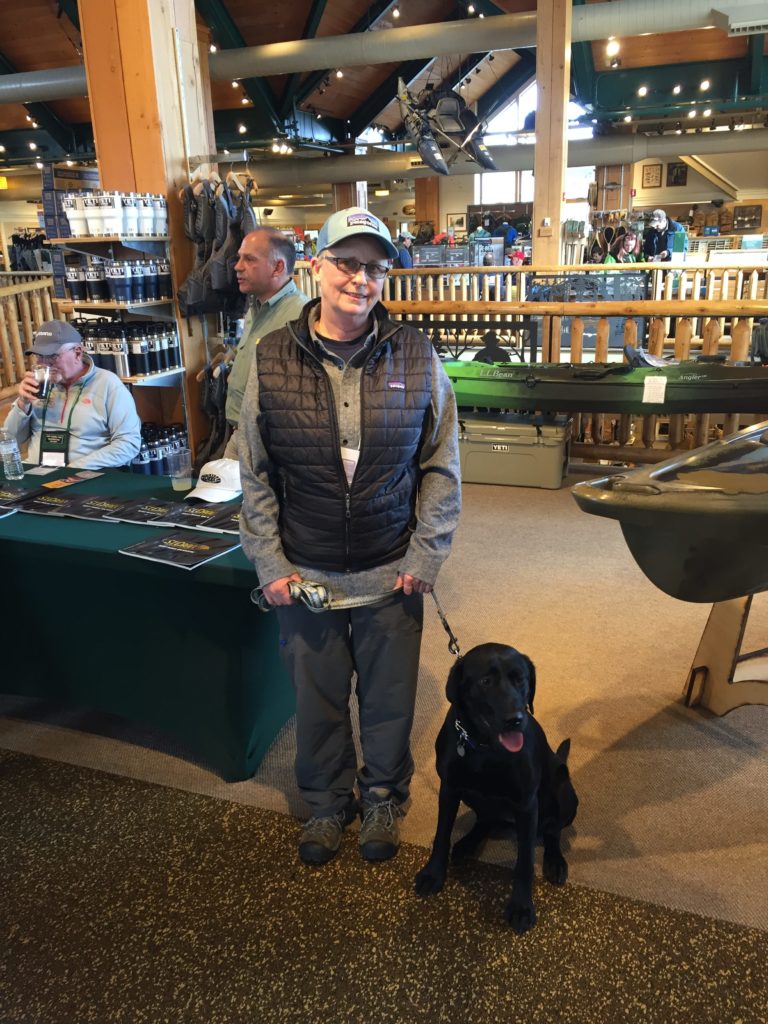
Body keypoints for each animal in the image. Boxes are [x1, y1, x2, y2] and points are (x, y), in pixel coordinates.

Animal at [417, 643, 581, 933]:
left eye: (520, 679)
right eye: (485, 682)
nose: (515, 719)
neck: (486, 748)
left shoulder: (526, 805)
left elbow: (524, 862)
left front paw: (521, 907)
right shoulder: (449, 789)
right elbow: (441, 834)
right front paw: (433, 873)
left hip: (564, 791)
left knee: (552, 831)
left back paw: (554, 860)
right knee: (486, 820)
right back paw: (467, 843)